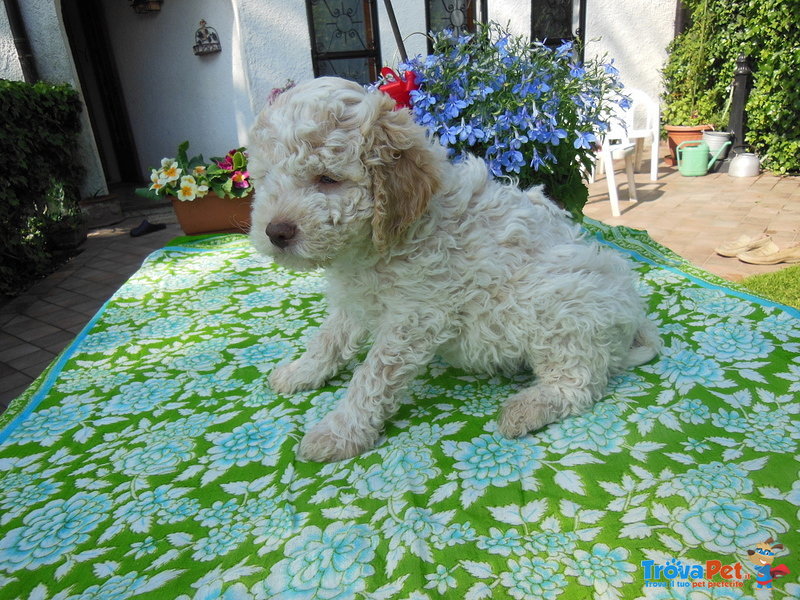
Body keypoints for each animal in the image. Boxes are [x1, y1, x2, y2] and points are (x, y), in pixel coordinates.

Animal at [247, 77, 660, 462]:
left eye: (328, 179)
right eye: (266, 178)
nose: (276, 232)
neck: (374, 246)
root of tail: (633, 317)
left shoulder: (414, 318)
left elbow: (371, 376)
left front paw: (338, 432)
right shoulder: (356, 300)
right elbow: (328, 339)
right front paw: (301, 372)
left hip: (560, 305)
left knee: (581, 385)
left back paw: (526, 409)